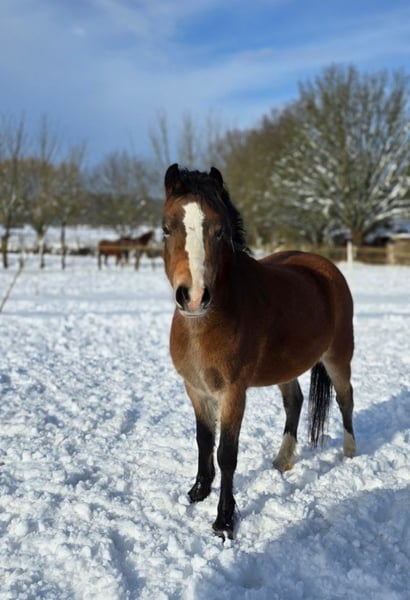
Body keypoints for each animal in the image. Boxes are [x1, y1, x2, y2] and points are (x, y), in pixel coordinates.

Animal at [162, 164, 356, 540]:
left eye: (219, 231)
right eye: (166, 228)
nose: (193, 296)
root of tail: (327, 267)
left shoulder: (233, 393)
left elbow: (226, 454)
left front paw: (224, 522)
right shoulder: (196, 390)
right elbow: (203, 441)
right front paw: (198, 492)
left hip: (339, 357)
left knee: (346, 399)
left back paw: (350, 454)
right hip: (287, 367)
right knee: (295, 401)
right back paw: (283, 460)